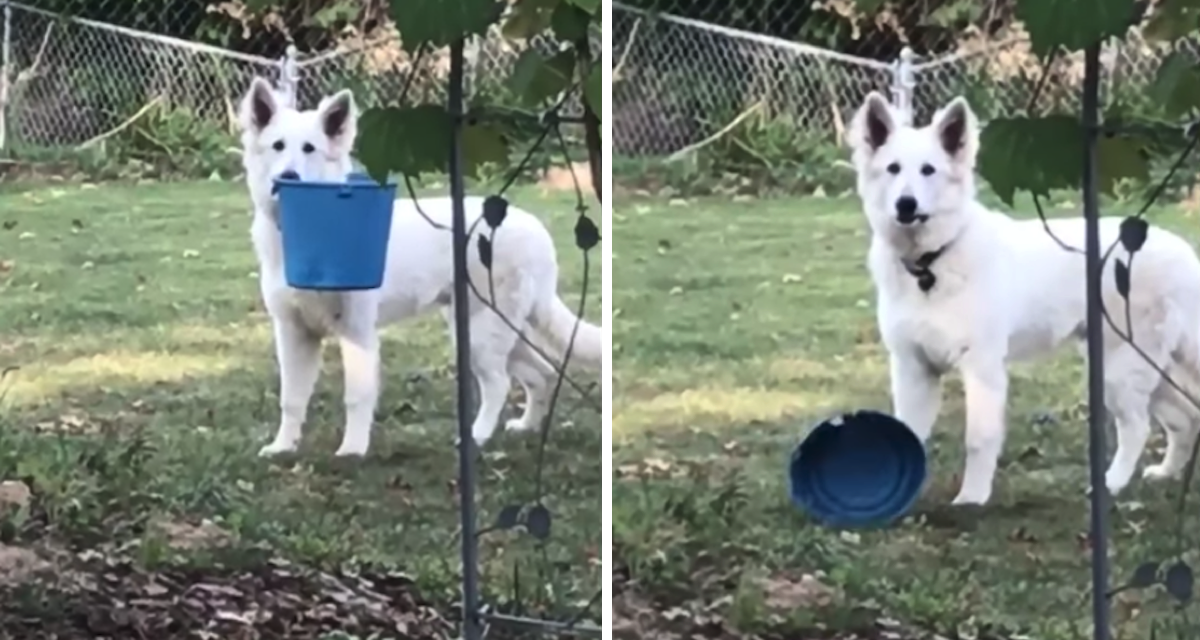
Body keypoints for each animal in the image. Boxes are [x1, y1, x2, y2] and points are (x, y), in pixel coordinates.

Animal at [235, 77, 604, 456]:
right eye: (278, 146)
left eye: (310, 148)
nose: (288, 176)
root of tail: (536, 229)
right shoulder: (294, 334)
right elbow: (291, 400)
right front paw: (283, 446)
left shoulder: (357, 332)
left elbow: (356, 397)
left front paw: (352, 450)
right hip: (496, 331)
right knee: (541, 373)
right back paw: (526, 426)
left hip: (480, 335)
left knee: (500, 384)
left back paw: (476, 436)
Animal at [849, 92, 1200, 506]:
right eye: (893, 168)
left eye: (928, 170)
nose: (906, 205)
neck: (930, 263)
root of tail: (1184, 251)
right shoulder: (913, 369)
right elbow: (909, 434)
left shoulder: (982, 369)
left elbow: (979, 439)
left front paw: (972, 498)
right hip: (1145, 368)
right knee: (1183, 419)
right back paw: (1164, 473)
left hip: (1120, 370)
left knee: (1138, 427)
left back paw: (1110, 484)